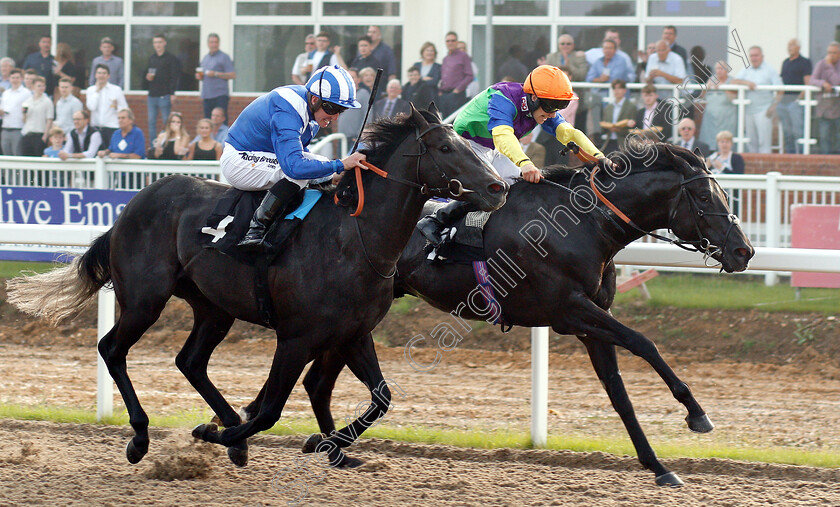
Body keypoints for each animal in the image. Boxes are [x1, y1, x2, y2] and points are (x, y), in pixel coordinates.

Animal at [4, 103, 506, 468]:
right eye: (443, 146)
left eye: (466, 141)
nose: (498, 187)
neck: (355, 238)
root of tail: (131, 205)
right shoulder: (297, 337)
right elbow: (269, 411)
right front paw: (216, 432)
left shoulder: (353, 333)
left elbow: (381, 397)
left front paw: (323, 445)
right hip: (145, 298)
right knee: (112, 348)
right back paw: (143, 436)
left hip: (213, 308)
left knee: (190, 361)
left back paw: (228, 430)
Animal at [241, 143, 756, 488]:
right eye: (706, 199)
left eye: (725, 195)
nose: (744, 251)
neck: (584, 224)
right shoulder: (571, 311)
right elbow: (645, 343)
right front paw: (696, 414)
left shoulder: (592, 322)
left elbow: (619, 395)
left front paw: (660, 467)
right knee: (316, 379)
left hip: (352, 318)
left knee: (317, 382)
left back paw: (319, 443)